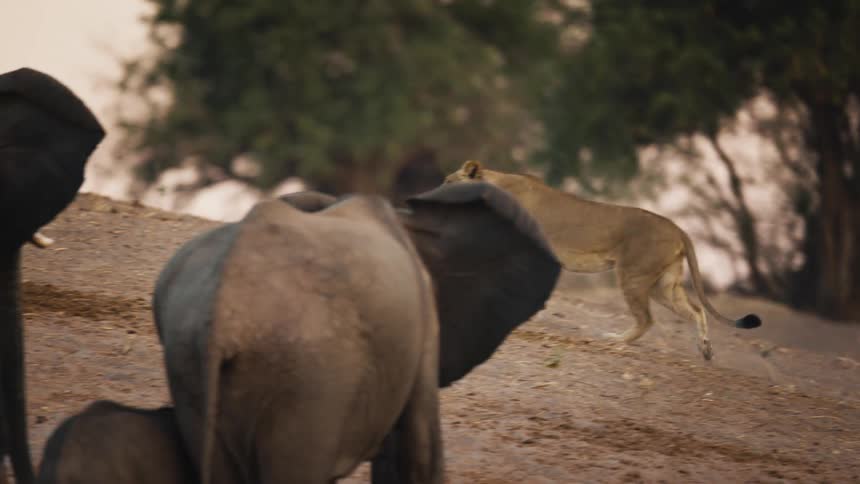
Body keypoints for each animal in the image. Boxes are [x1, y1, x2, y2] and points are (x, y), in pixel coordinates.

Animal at [445, 160, 762, 360]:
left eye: (449, 181)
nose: (436, 191)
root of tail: (677, 228)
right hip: (663, 285)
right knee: (696, 310)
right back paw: (705, 349)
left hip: (633, 275)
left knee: (647, 319)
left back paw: (615, 341)